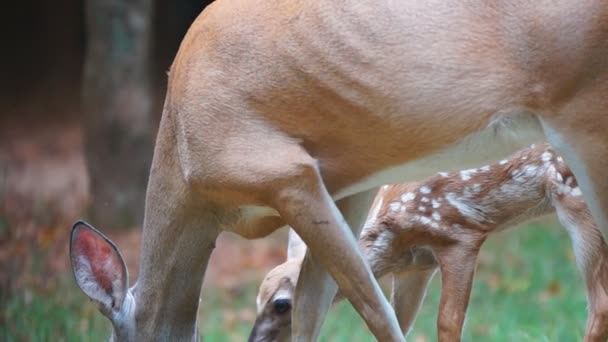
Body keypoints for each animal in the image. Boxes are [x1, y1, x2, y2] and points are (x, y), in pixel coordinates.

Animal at [251, 144, 608, 342]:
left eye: (281, 304)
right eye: (256, 299)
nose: (255, 340)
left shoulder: (459, 234)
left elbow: (447, 324)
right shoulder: (415, 267)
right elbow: (394, 323)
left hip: (575, 198)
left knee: (600, 303)